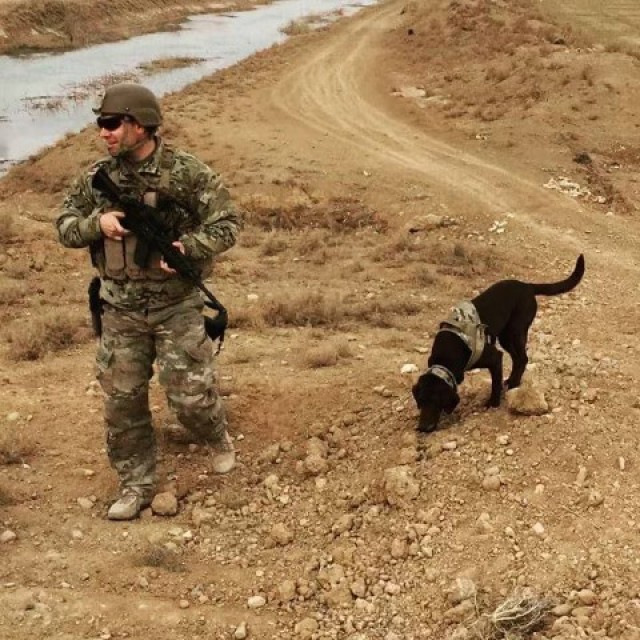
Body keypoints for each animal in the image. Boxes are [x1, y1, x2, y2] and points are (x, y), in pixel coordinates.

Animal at [416, 254, 584, 430]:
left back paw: (514, 383)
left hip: (515, 331)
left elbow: (495, 384)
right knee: (517, 359)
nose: (423, 428)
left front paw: (493, 403)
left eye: (437, 401)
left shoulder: (495, 357)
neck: (448, 353)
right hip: (505, 337)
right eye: (420, 401)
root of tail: (527, 286)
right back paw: (511, 380)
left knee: (523, 358)